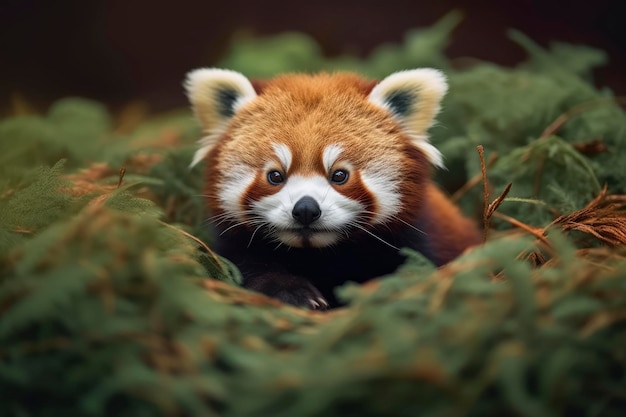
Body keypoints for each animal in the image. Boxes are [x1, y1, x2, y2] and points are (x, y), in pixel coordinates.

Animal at [183, 69, 480, 308]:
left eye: (339, 175)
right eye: (275, 176)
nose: (305, 209)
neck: (320, 255)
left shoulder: (416, 240)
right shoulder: (235, 246)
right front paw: (294, 294)